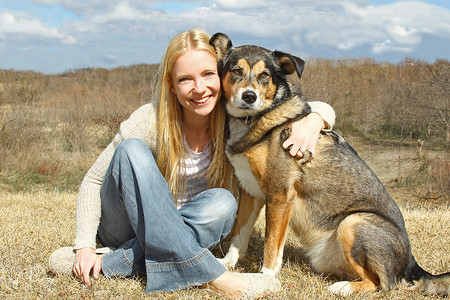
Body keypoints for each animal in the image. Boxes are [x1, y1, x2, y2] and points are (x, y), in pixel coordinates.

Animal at [211, 32, 450, 296]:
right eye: (236, 71)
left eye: (265, 75)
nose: (249, 97)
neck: (254, 119)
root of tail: (411, 263)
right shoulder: (251, 193)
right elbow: (239, 235)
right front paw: (228, 263)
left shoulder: (280, 195)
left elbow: (271, 246)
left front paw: (266, 279)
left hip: (353, 222)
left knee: (383, 284)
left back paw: (343, 288)